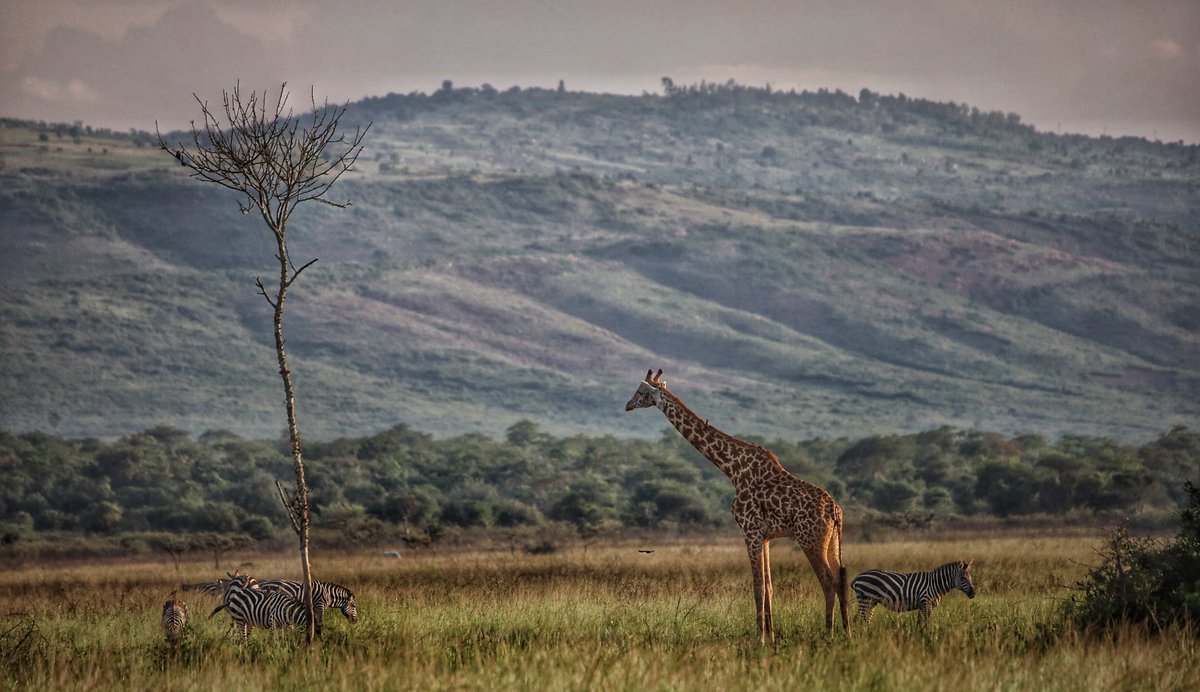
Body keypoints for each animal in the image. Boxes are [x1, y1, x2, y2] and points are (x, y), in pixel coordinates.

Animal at [625, 368, 850, 643]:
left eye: (641, 391)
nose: (627, 405)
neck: (731, 468)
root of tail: (835, 510)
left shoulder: (749, 531)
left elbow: (757, 586)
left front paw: (759, 639)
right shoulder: (764, 536)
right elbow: (769, 586)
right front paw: (771, 636)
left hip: (810, 538)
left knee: (827, 580)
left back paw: (829, 634)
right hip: (833, 540)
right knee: (841, 578)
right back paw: (849, 633)